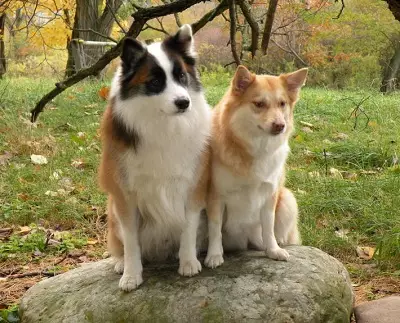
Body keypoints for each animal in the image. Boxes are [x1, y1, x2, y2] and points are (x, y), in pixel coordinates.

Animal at [99, 25, 211, 292]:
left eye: (182, 77)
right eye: (155, 82)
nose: (184, 102)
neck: (164, 125)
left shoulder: (193, 187)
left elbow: (188, 227)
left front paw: (188, 262)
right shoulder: (125, 196)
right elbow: (131, 241)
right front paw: (131, 274)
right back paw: (120, 262)